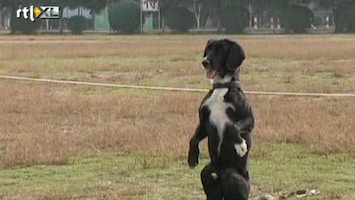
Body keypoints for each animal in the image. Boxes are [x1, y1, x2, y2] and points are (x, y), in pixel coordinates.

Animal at [188, 39, 254, 200]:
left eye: (221, 50)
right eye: (208, 49)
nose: (205, 62)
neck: (221, 87)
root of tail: (221, 172)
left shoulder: (249, 119)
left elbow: (232, 127)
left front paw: (241, 146)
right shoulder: (204, 122)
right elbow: (193, 138)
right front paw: (192, 158)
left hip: (234, 178)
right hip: (208, 174)